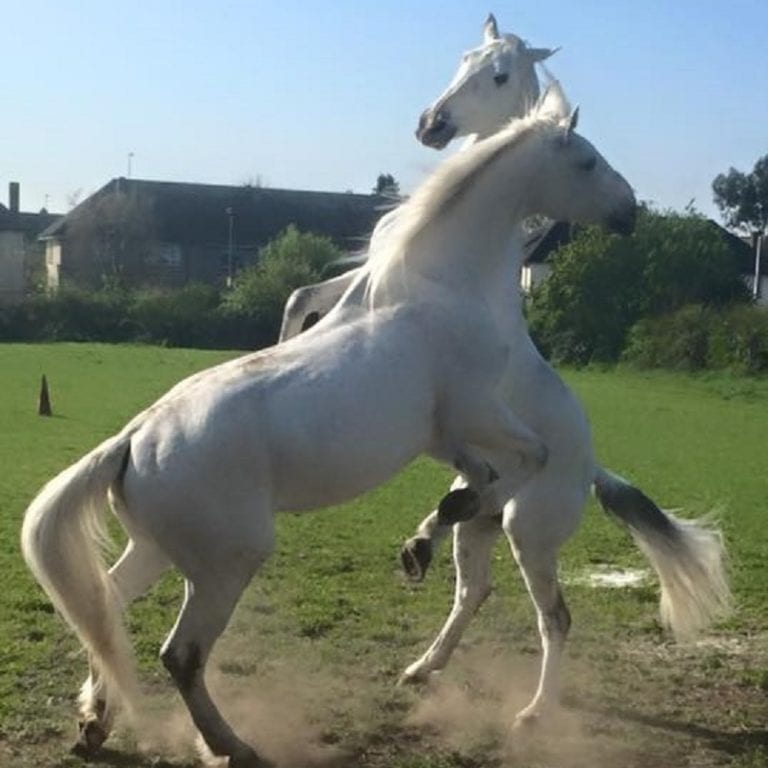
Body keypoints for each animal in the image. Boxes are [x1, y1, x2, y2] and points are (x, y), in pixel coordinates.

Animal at [21, 83, 636, 767]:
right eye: (586, 161)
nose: (632, 213)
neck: (440, 287)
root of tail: (130, 442)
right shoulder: (475, 410)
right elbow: (528, 457)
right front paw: (433, 533)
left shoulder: (446, 436)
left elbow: (484, 476)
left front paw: (425, 539)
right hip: (226, 563)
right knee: (181, 655)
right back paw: (232, 744)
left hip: (157, 551)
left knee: (105, 608)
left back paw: (94, 723)